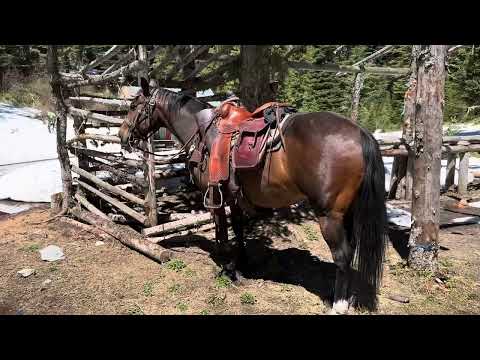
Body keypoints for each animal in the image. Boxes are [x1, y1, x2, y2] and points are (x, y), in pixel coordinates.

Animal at [118, 78, 388, 312]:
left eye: (132, 106)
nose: (122, 135)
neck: (200, 130)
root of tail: (361, 133)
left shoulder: (215, 198)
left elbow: (222, 234)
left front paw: (228, 270)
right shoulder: (235, 197)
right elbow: (238, 228)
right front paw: (243, 264)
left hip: (329, 215)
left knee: (342, 256)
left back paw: (339, 304)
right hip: (348, 213)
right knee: (351, 251)